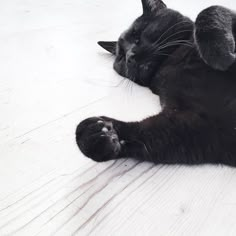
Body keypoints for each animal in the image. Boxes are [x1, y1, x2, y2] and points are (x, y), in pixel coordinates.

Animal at [76, 0, 236, 166]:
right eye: (121, 56)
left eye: (138, 36)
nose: (129, 56)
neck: (173, 60)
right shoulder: (201, 122)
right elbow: (144, 132)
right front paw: (96, 134)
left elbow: (210, 10)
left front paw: (218, 54)